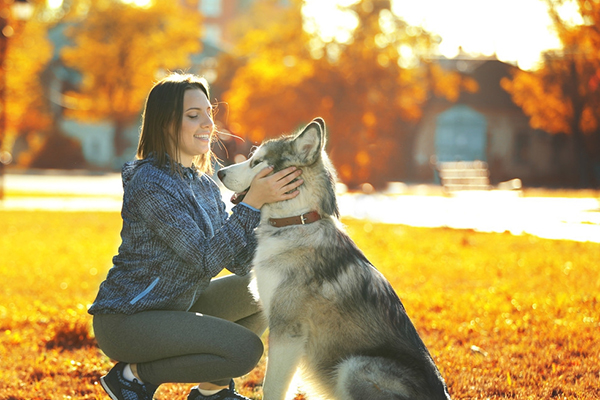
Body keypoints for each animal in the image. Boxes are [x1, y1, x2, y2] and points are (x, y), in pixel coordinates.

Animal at [217, 119, 450, 400]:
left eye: (256, 162)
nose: (219, 173)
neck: (297, 221)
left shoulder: (287, 330)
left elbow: (271, 387)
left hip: (353, 366)